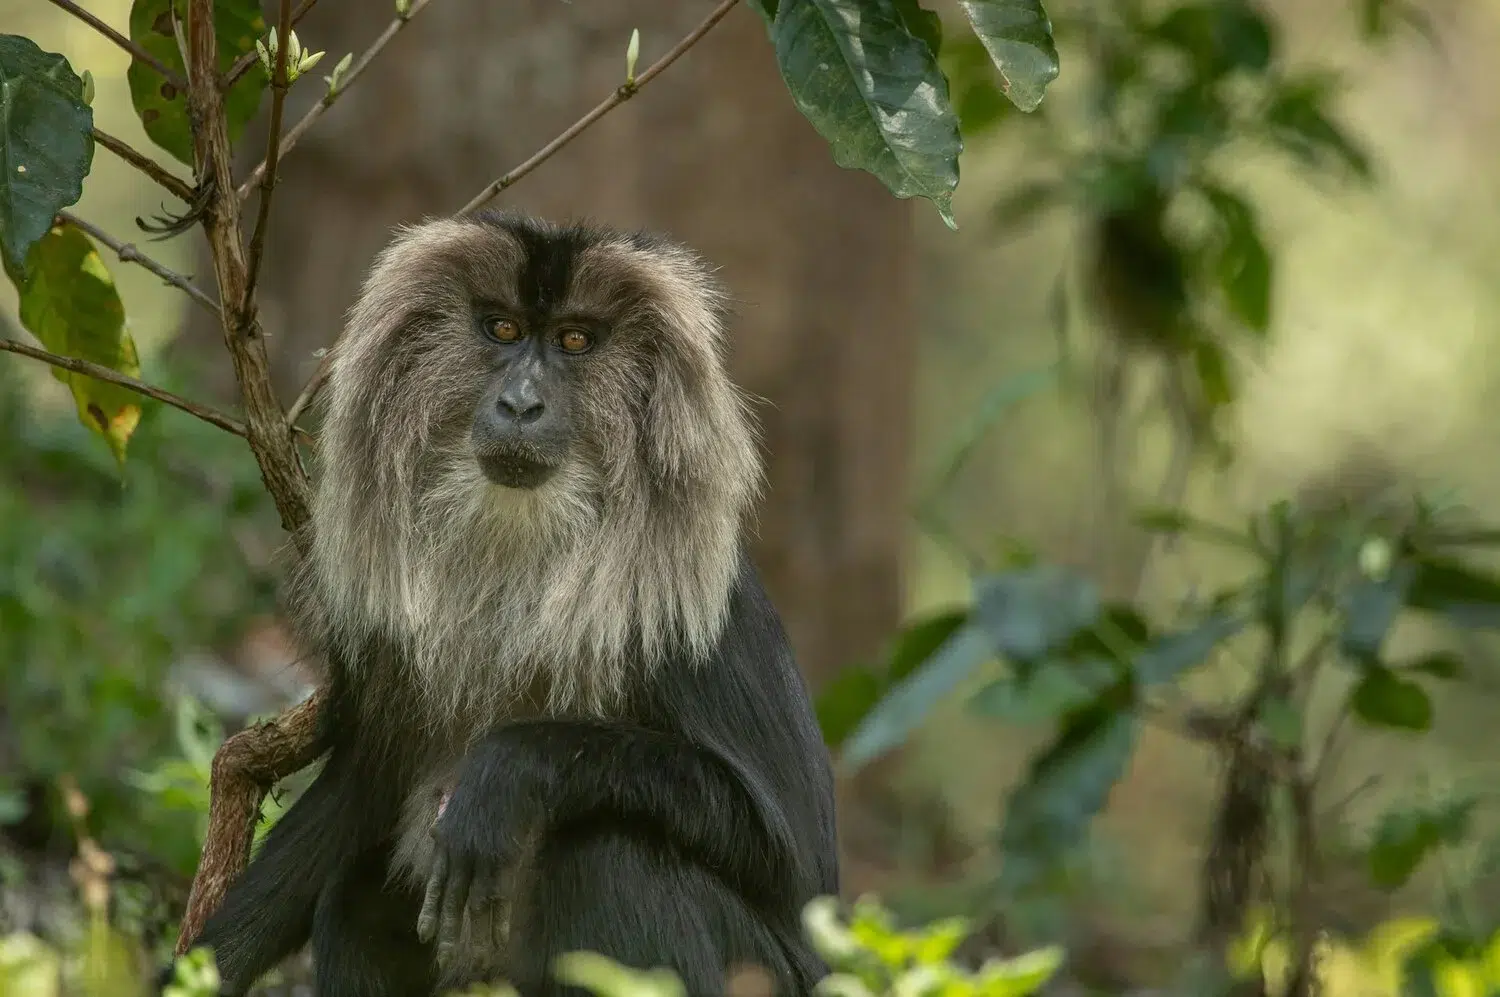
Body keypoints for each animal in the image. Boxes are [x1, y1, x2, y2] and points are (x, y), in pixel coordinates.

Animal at [175, 211, 846, 995]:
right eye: (501, 329)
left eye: (575, 340)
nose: (520, 403)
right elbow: (359, 796)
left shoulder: (697, 619)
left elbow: (793, 863)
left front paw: (506, 773)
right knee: (356, 900)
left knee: (610, 856)